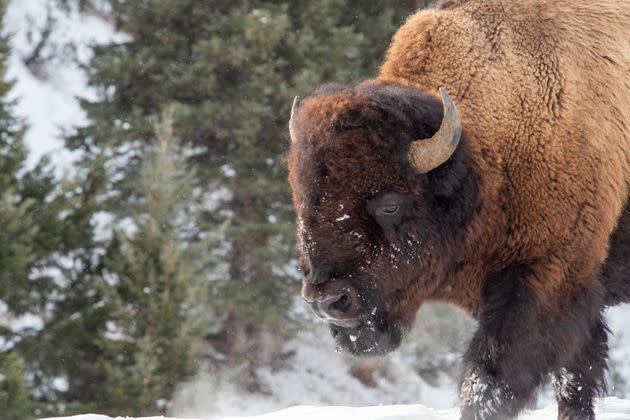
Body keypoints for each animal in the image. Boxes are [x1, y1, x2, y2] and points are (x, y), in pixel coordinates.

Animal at [288, 0, 630, 420]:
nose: (328, 301)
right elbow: (575, 376)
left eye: (390, 204)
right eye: (302, 201)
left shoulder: (550, 277)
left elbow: (491, 379)